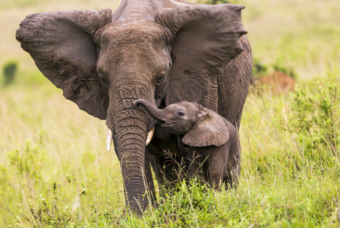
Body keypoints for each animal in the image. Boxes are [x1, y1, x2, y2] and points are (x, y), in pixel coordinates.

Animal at [17, 0, 251, 214]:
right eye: (102, 79)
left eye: (160, 77)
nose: (127, 214)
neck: (135, 17)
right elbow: (130, 149)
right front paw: (149, 216)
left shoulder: (201, 82)